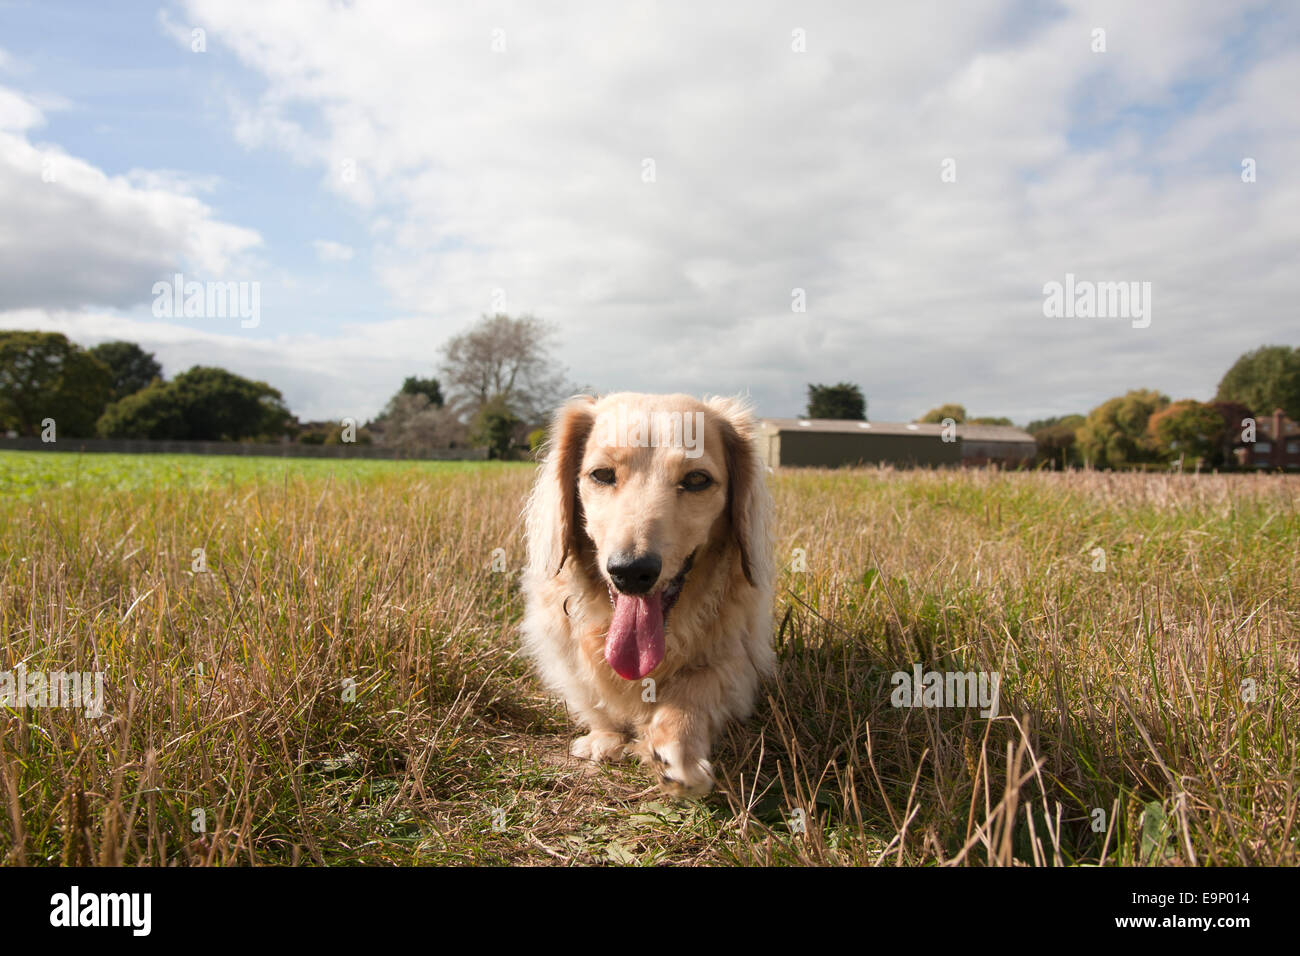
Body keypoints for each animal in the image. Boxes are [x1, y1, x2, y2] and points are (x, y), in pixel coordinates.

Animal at [522, 392, 774, 796]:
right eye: (602, 474)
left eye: (697, 479)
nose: (630, 572)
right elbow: (594, 696)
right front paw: (605, 738)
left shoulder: (741, 657)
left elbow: (699, 685)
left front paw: (677, 746)